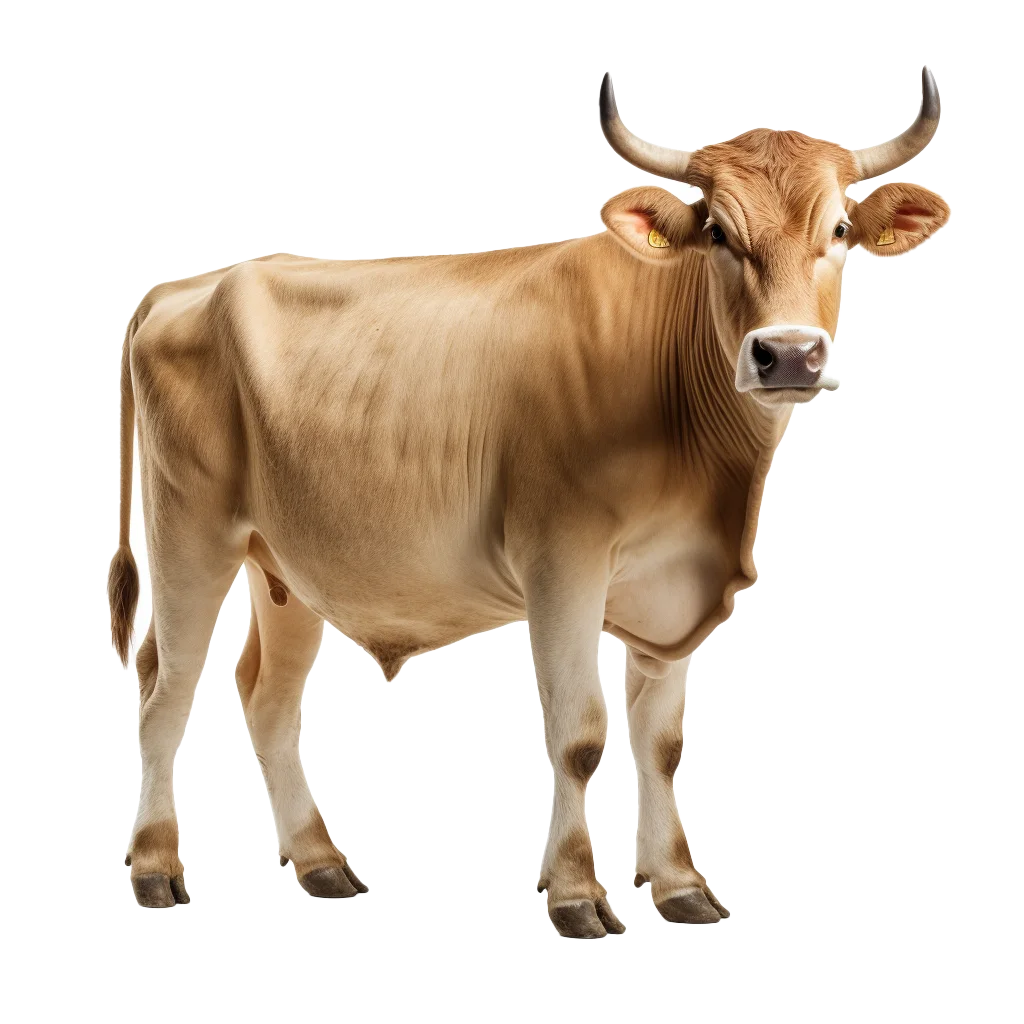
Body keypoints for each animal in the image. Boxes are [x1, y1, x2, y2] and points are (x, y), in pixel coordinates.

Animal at [109, 66, 949, 933]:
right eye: (717, 233)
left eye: (841, 230)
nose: (788, 354)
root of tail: (189, 285)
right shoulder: (560, 563)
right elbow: (579, 734)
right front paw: (577, 894)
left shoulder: (673, 581)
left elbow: (662, 742)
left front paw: (679, 884)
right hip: (190, 531)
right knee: (164, 687)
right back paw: (157, 869)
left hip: (288, 563)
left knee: (265, 695)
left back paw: (322, 865)